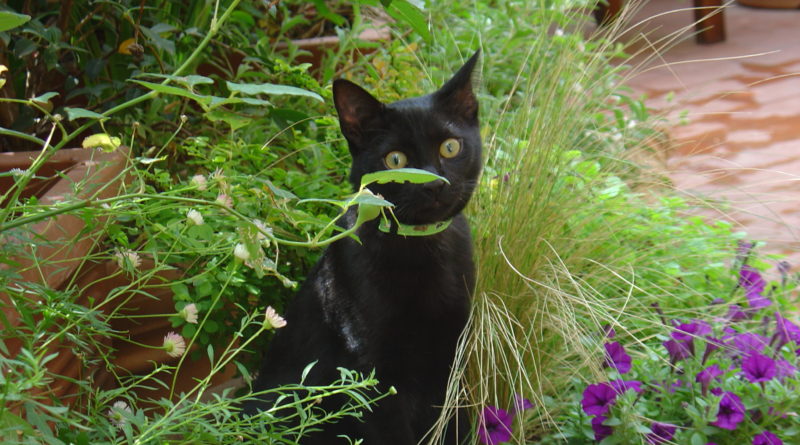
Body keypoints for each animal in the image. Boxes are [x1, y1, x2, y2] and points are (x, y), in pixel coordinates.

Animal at [244, 51, 482, 444]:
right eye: (395, 160)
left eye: (450, 147)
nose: (434, 182)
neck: (420, 245)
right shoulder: (372, 371)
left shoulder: (452, 357)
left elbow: (453, 425)